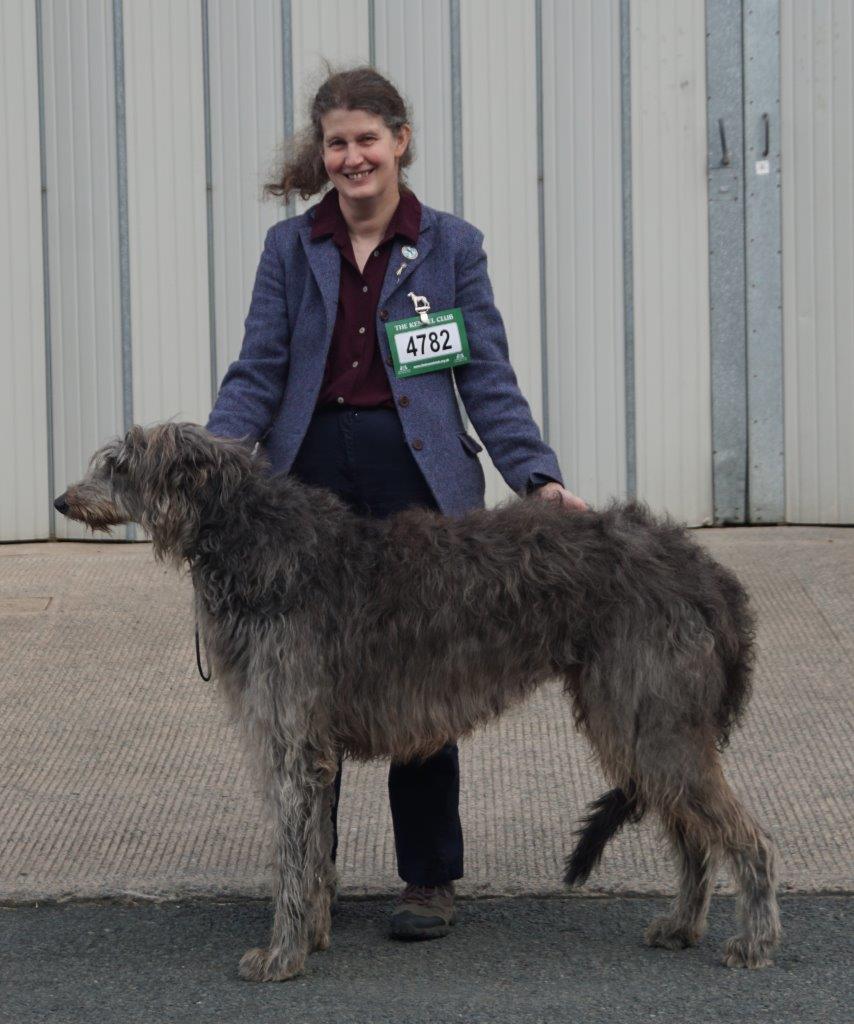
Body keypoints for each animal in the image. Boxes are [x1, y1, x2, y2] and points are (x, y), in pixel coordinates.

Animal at [53, 425, 778, 983]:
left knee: (747, 836)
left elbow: (290, 858)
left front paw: (281, 957)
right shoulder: (312, 747)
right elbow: (314, 853)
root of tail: (703, 568)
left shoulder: (291, 740)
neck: (255, 543)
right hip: (641, 721)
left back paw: (755, 941)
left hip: (648, 718)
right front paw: (313, 937)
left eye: (119, 465)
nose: (61, 499)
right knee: (691, 833)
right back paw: (681, 926)